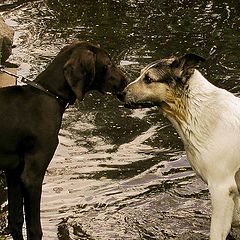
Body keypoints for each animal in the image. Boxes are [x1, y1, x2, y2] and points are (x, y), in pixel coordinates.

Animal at [0, 41, 127, 240]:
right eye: (108, 63)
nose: (126, 80)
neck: (49, 95)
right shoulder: (31, 176)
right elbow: (35, 229)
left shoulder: (13, 172)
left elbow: (15, 221)